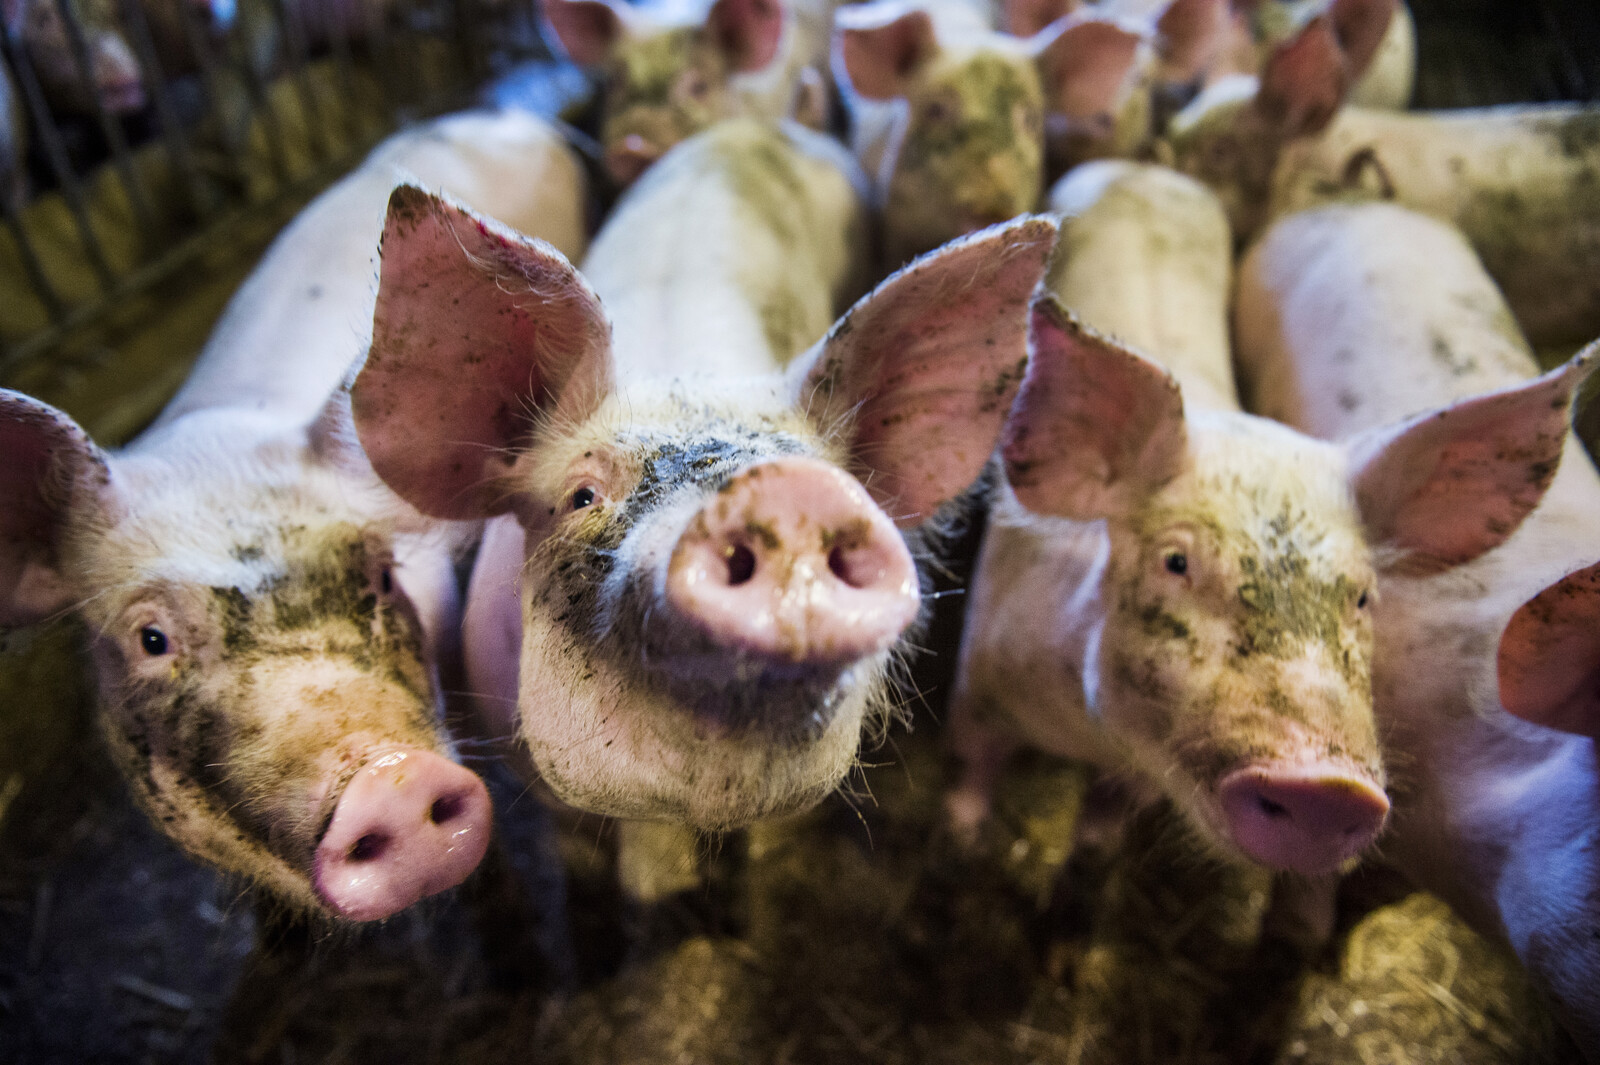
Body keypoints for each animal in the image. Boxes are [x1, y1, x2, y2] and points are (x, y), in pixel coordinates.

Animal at [948, 162, 1582, 890]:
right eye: (1176, 562)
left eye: (1363, 596)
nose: (1328, 788)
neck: (1081, 734)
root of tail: (1144, 168)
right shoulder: (979, 674)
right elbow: (973, 765)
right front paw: (964, 841)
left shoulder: (1133, 777)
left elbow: (1106, 813)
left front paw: (1092, 854)